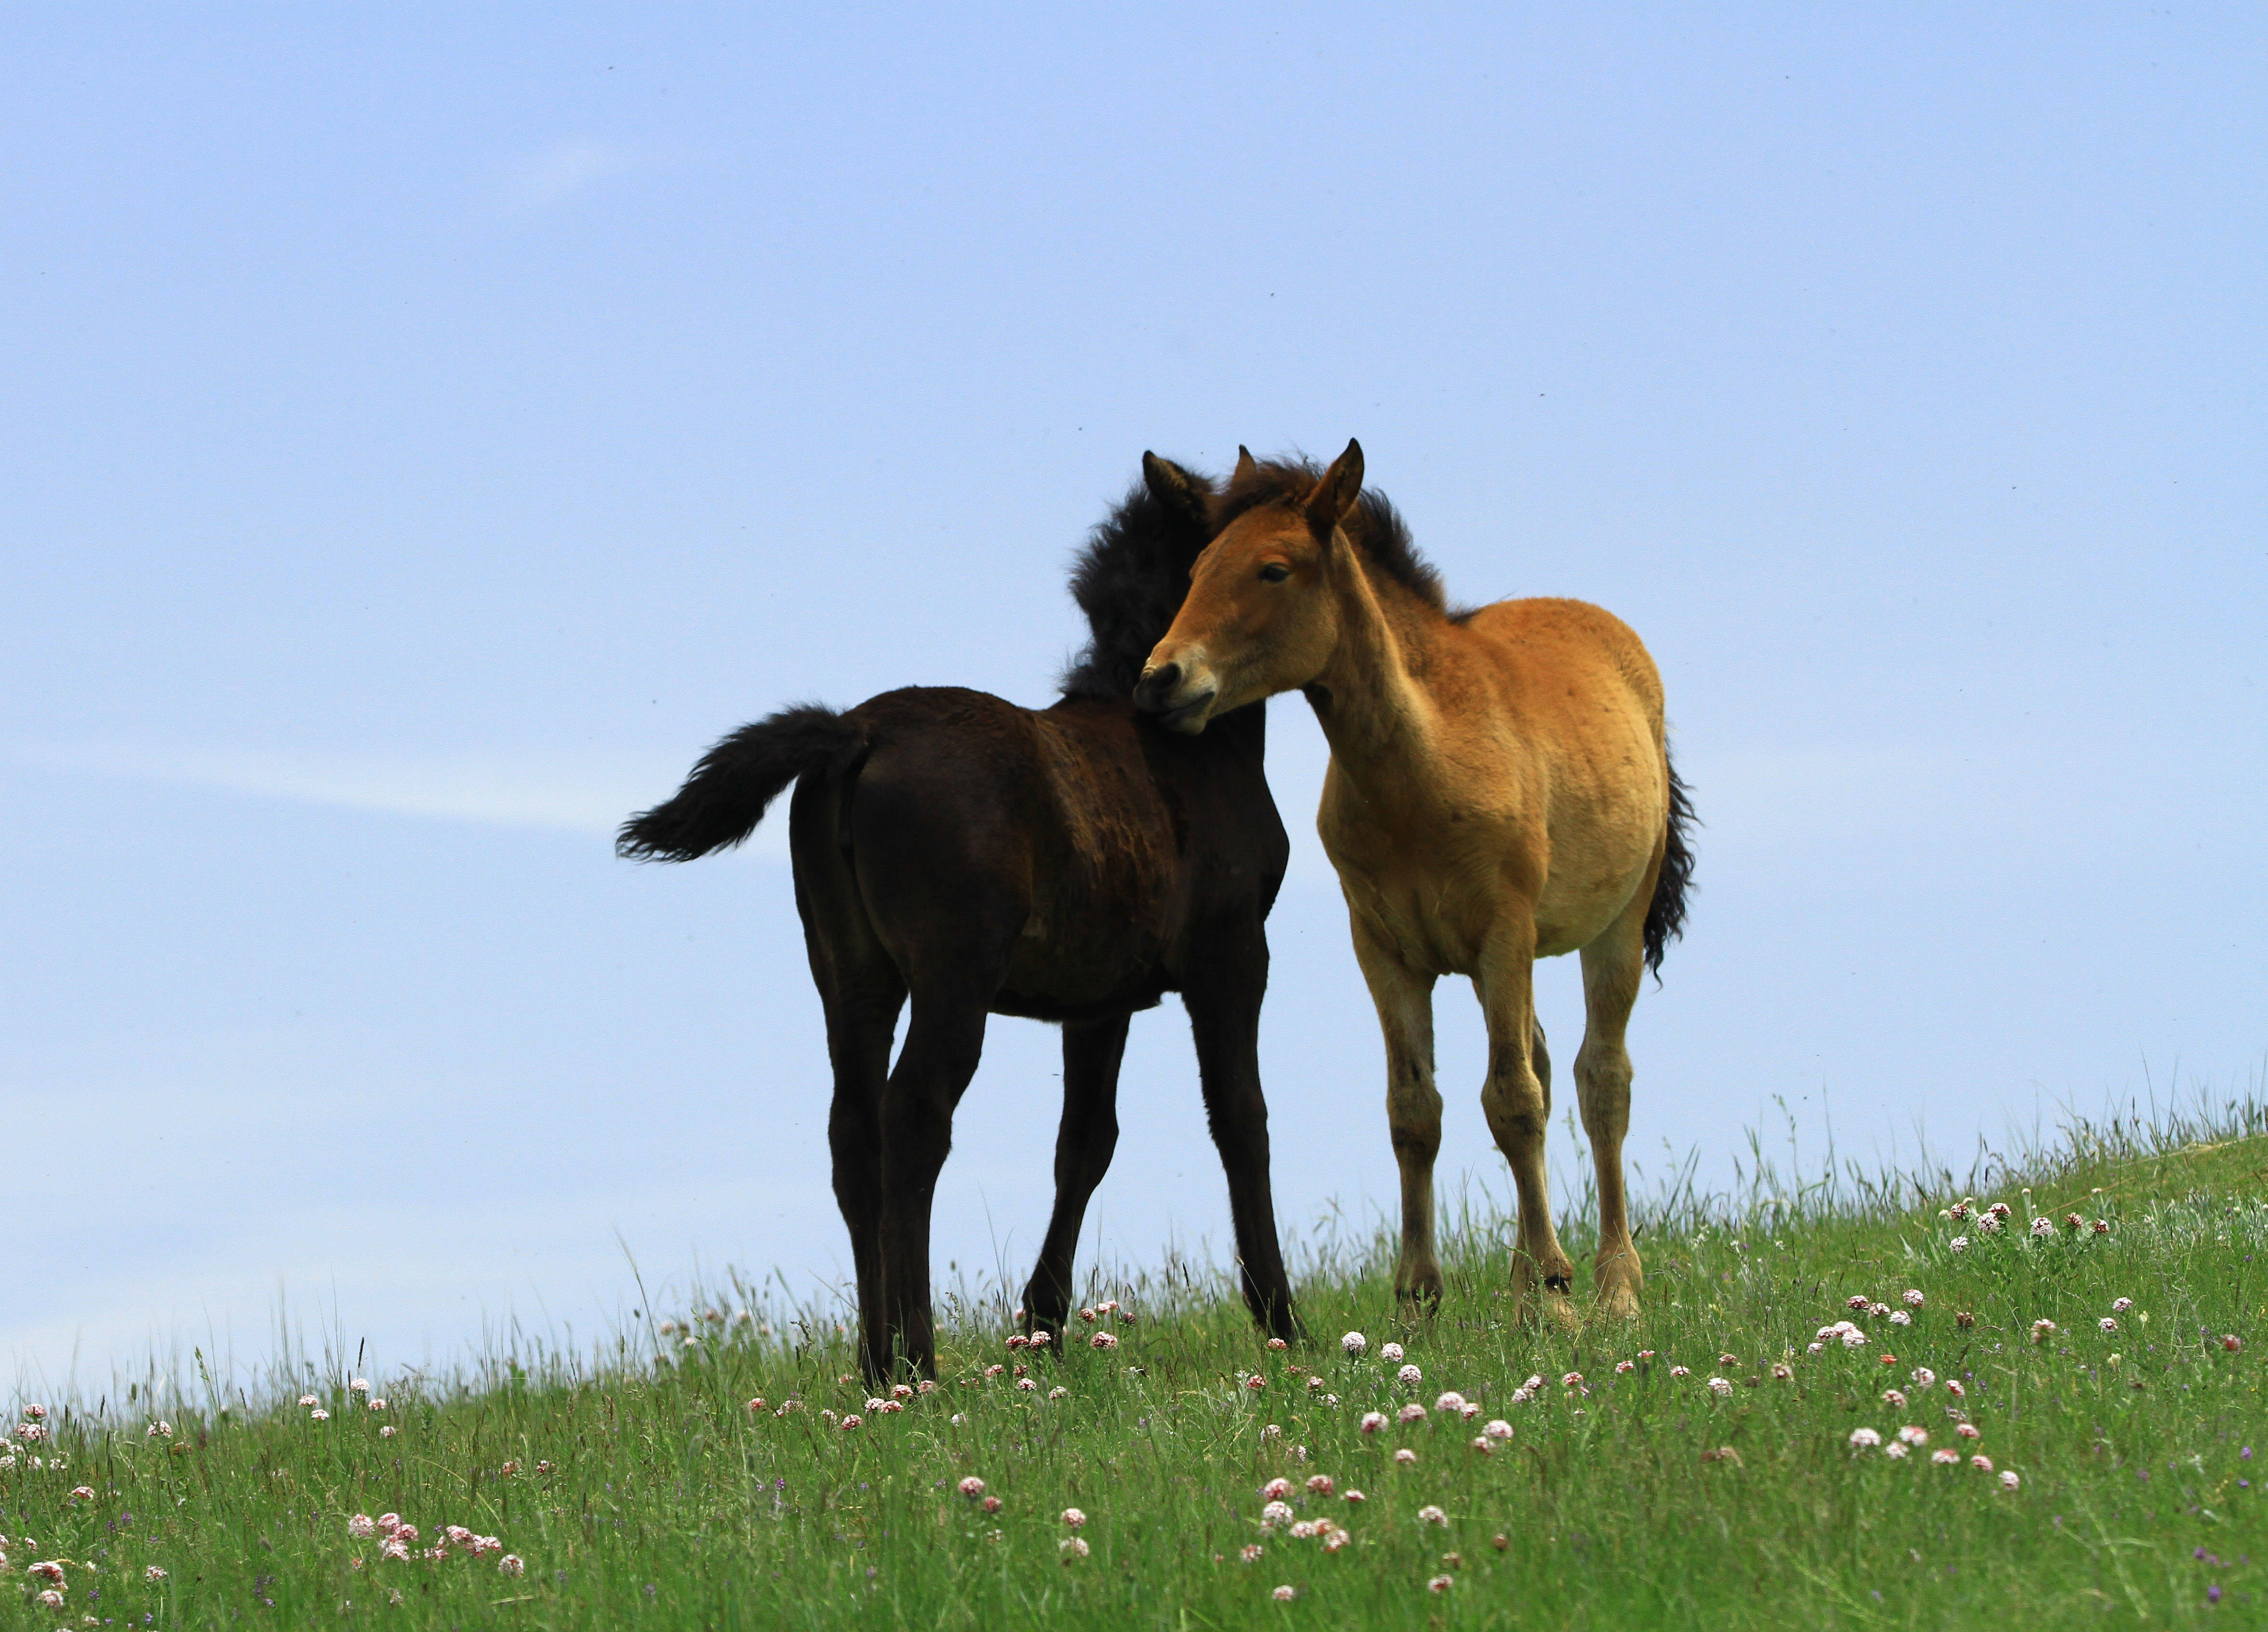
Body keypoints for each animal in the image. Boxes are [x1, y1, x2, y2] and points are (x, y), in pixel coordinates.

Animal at [1134, 440, 1687, 1325]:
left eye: (1273, 570)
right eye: (1195, 569)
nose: (1161, 681)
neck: (1419, 767)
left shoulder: (1503, 930)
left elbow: (1514, 1101)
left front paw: (1554, 1292)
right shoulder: (1384, 950)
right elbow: (1414, 1110)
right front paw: (1419, 1301)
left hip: (1613, 929)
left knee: (1598, 1079)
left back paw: (1611, 1285)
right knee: (1537, 1064)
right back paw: (1525, 1281)